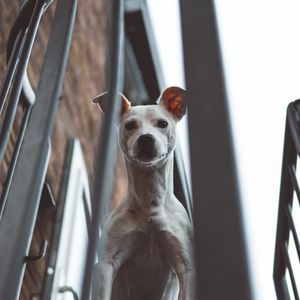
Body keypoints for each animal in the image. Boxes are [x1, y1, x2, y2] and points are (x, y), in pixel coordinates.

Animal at [91, 85, 195, 298]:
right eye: (130, 125)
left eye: (163, 123)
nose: (146, 139)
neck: (150, 202)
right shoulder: (106, 264)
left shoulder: (186, 267)